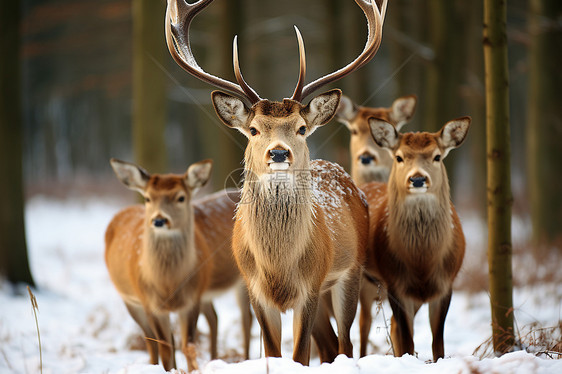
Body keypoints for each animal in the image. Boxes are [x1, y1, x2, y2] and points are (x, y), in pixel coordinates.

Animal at [106, 159, 250, 372]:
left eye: (181, 197)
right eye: (148, 198)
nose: (159, 220)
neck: (168, 285)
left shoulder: (192, 299)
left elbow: (187, 344)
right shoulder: (150, 303)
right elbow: (166, 347)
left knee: (245, 319)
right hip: (130, 300)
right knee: (155, 339)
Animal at [164, 0, 388, 366]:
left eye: (301, 127)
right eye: (254, 129)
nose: (279, 152)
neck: (277, 268)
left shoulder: (310, 287)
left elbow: (299, 355)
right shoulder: (254, 289)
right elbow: (273, 352)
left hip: (349, 273)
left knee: (345, 344)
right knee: (330, 346)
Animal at [358, 116, 468, 360]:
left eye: (437, 156)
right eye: (399, 157)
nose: (417, 179)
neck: (422, 262)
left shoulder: (445, 284)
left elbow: (438, 342)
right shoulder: (395, 283)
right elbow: (408, 339)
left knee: (390, 325)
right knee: (363, 324)